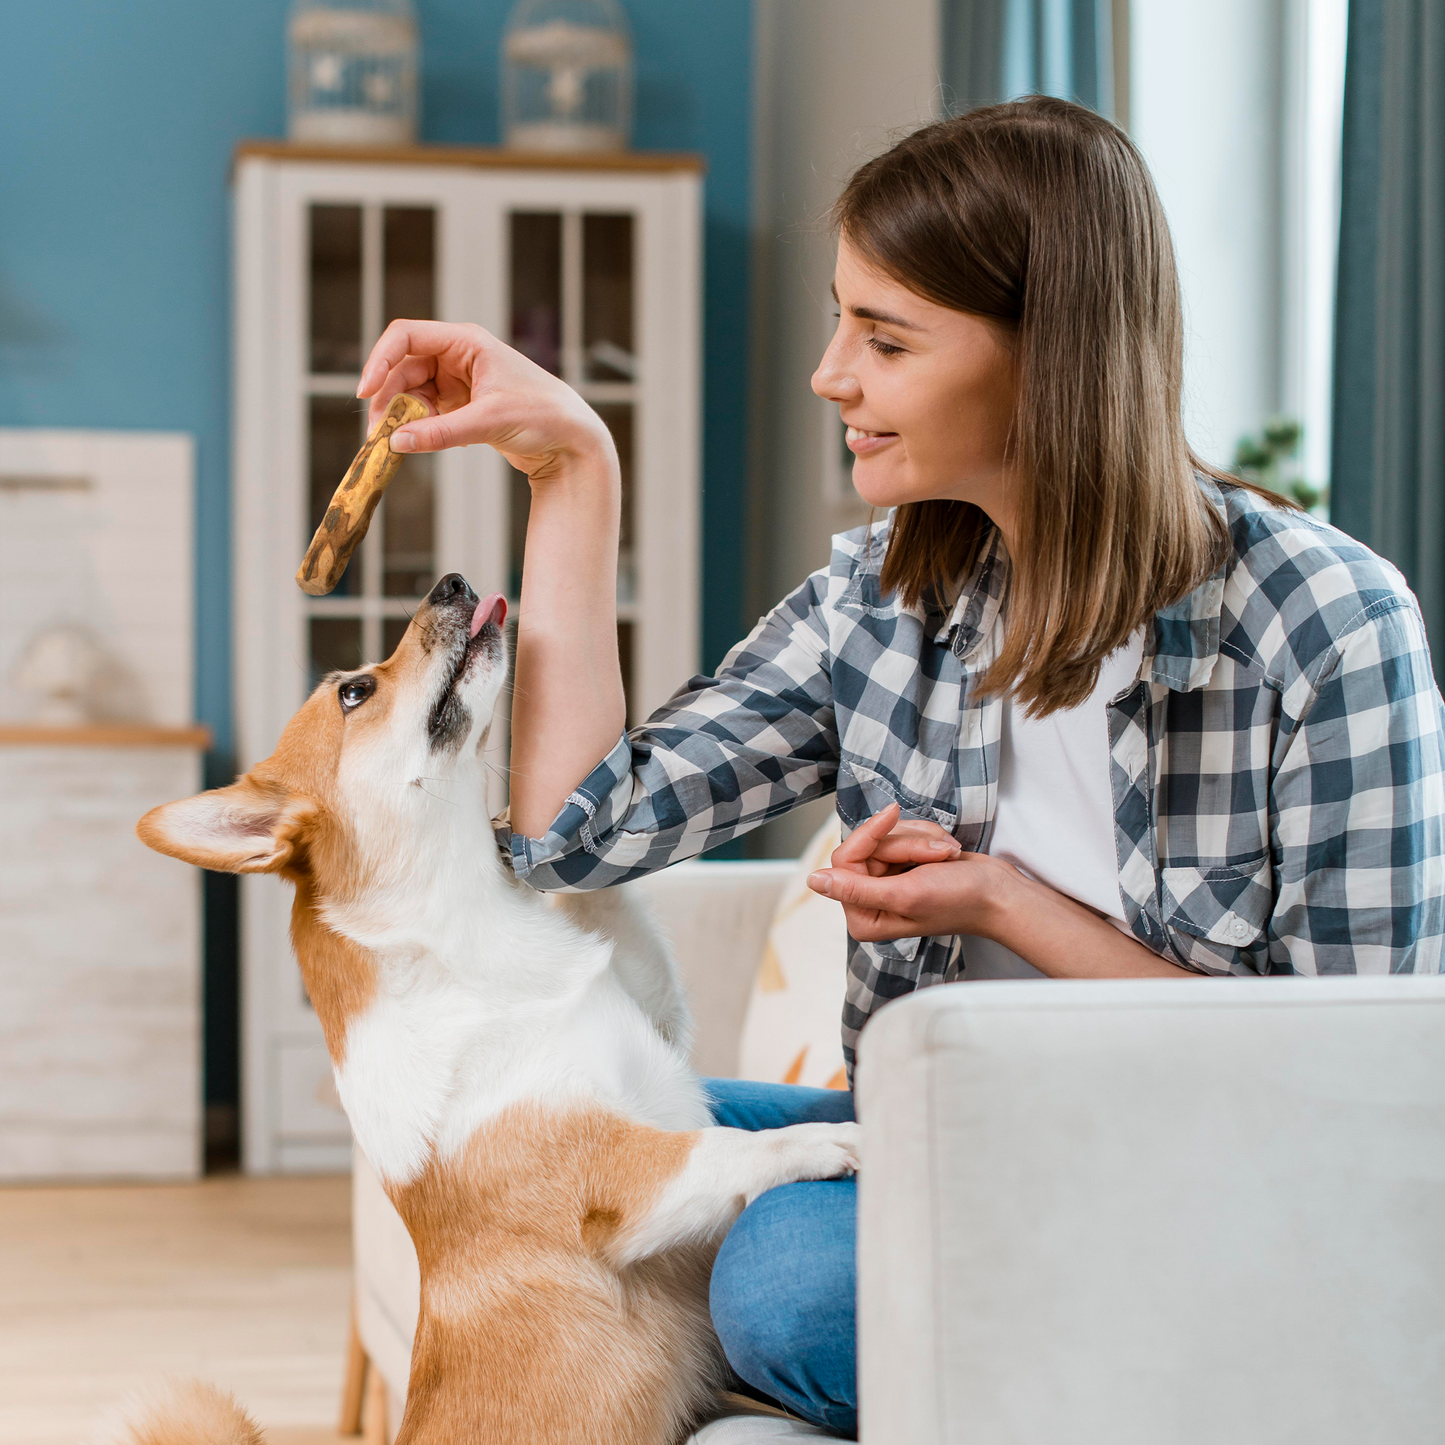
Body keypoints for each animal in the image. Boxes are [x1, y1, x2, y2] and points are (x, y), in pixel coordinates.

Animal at [132, 575, 855, 1445]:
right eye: (353, 690)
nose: (449, 582)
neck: (471, 938)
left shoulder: (656, 1012)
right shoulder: (627, 1180)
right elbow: (728, 1149)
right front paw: (833, 1137)